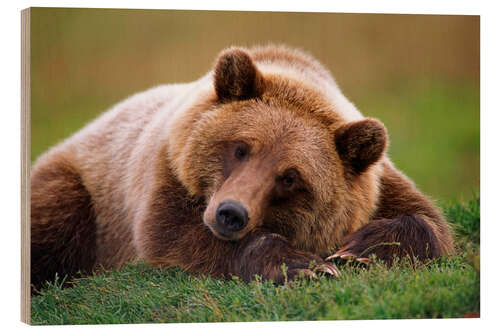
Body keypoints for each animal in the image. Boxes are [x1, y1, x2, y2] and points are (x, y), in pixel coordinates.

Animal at [30, 44, 454, 290]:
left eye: (290, 177)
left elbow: (429, 222)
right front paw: (301, 264)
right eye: (240, 148)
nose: (230, 213)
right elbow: (171, 237)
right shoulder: (164, 173)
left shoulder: (377, 186)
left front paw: (362, 248)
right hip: (84, 188)